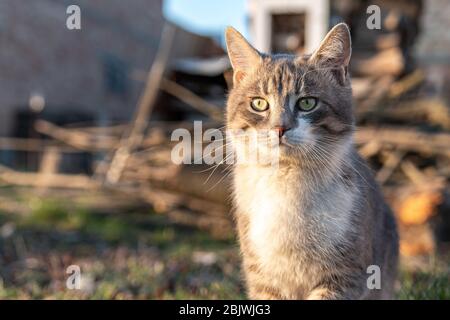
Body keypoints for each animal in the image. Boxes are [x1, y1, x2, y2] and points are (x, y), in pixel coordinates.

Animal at [224, 23, 398, 300]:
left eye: (307, 103)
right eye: (259, 103)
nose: (280, 128)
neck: (287, 181)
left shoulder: (346, 273)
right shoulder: (262, 276)